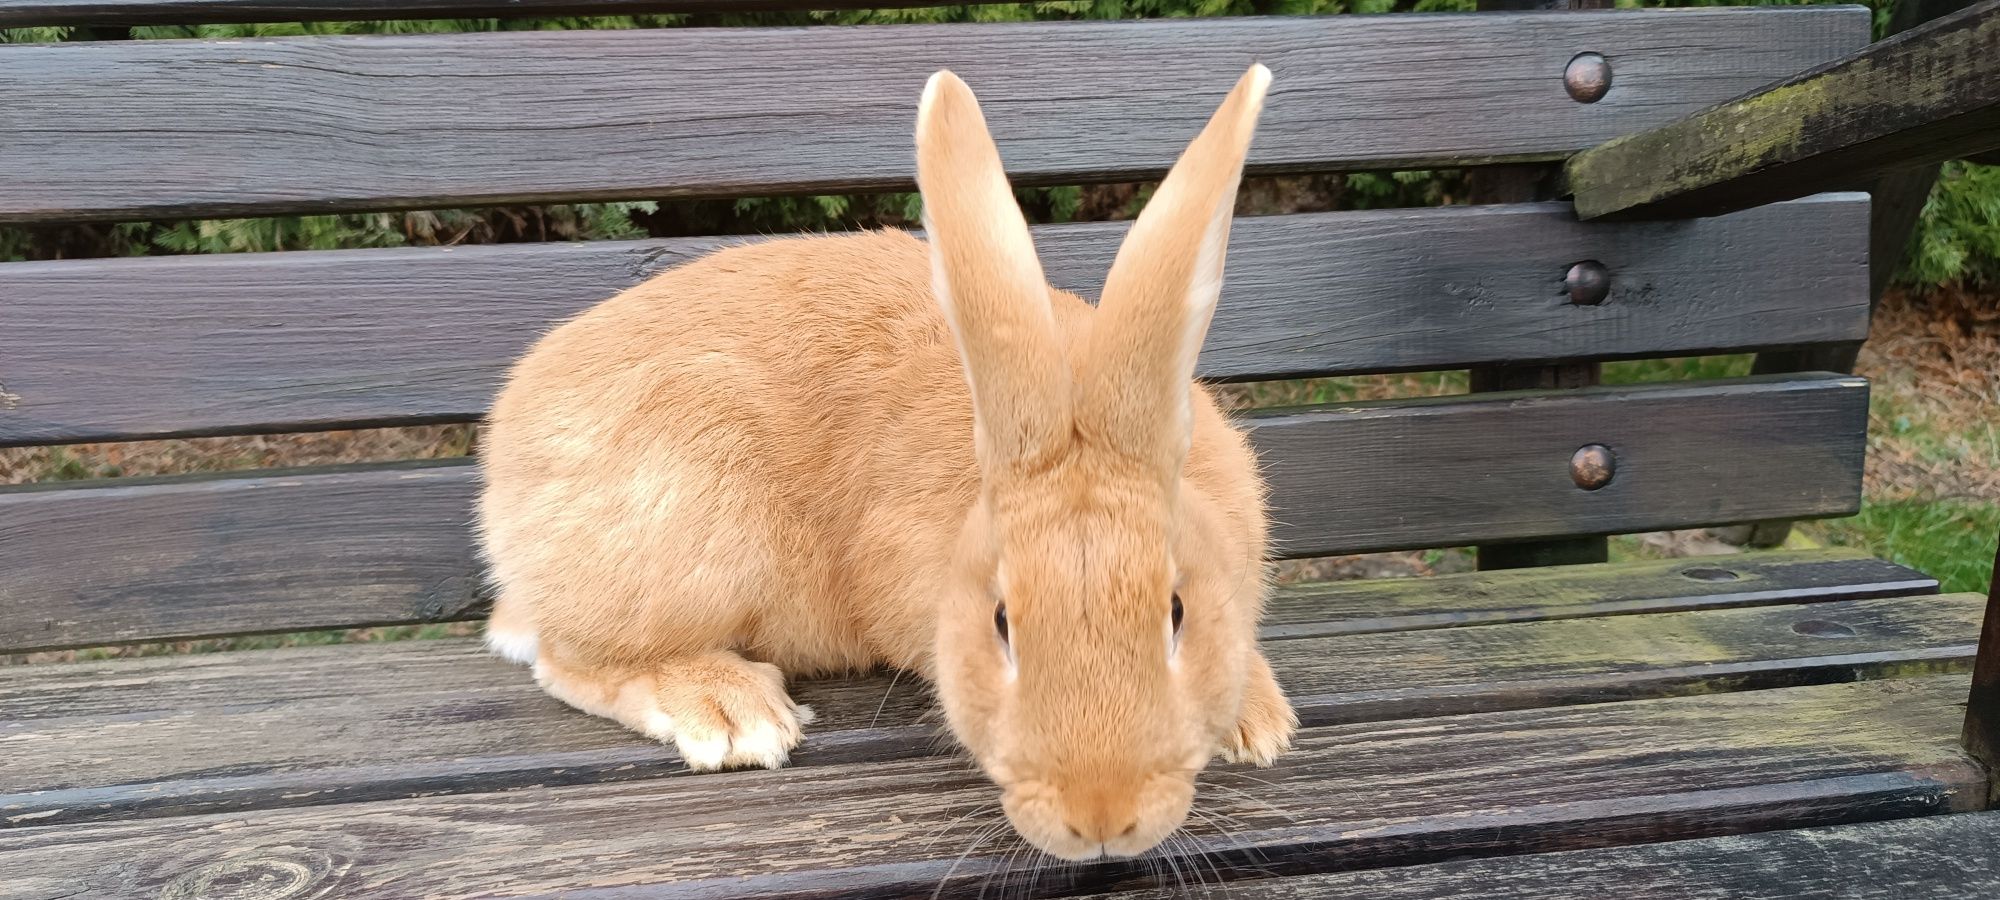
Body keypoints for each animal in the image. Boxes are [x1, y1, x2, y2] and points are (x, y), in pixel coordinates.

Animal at [480, 65, 1296, 856]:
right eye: (1001, 622)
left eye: (1177, 611)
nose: (1101, 818)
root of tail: (500, 462)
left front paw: (1260, 726)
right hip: (692, 527)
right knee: (567, 656)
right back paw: (732, 714)